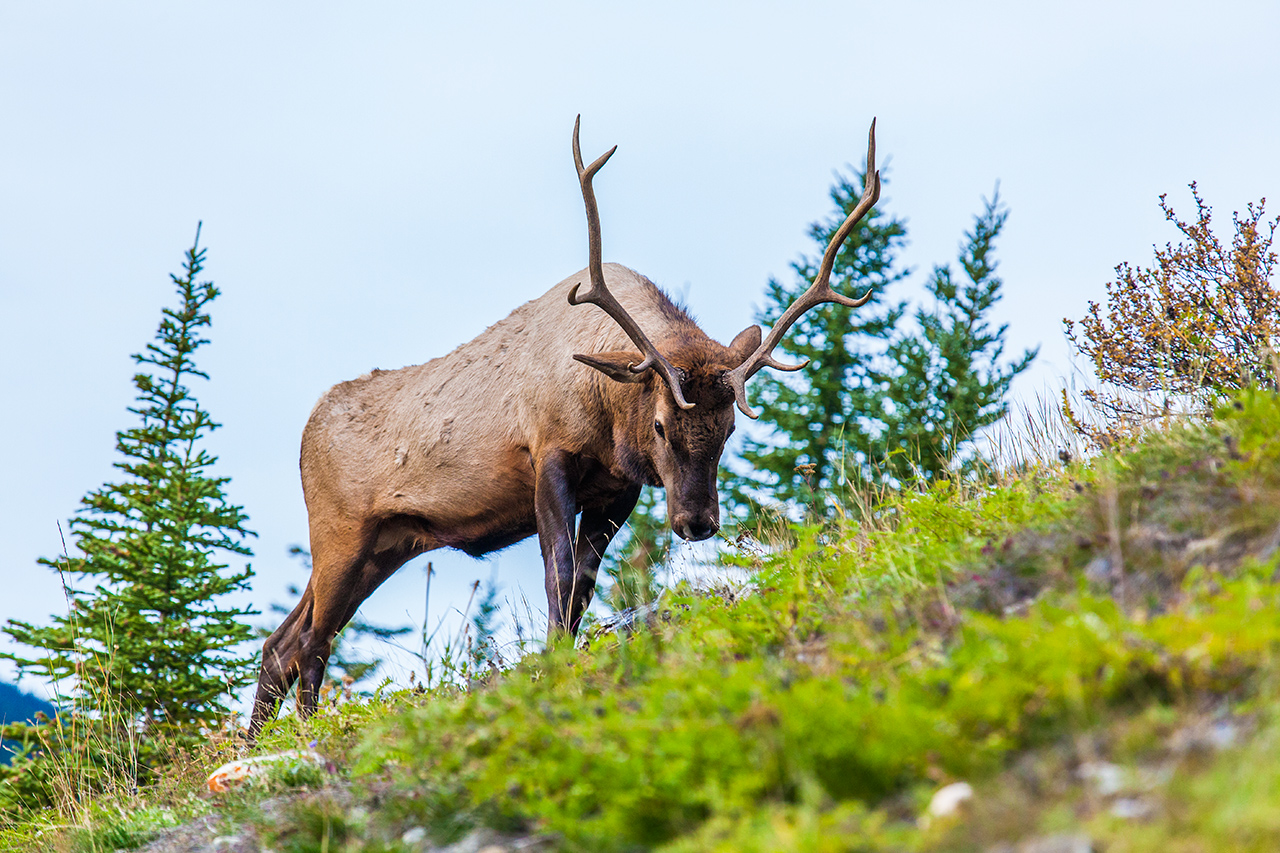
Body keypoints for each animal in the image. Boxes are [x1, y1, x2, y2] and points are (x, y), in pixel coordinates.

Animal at [249, 116, 880, 732]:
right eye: (658, 425)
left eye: (728, 431)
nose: (697, 522)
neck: (606, 417)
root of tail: (305, 434)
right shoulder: (548, 456)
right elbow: (560, 576)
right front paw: (552, 664)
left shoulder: (617, 490)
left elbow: (584, 588)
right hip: (339, 531)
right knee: (310, 641)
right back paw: (303, 732)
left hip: (386, 543)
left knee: (282, 642)